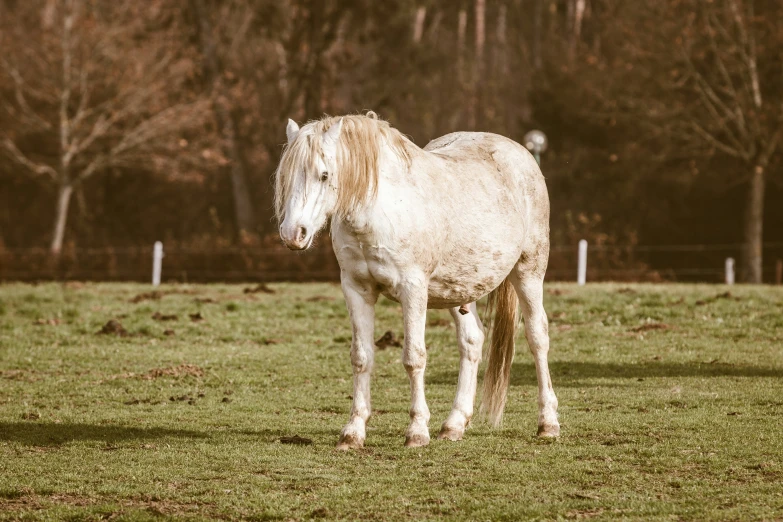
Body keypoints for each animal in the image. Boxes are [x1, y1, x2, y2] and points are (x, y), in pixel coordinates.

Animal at [276, 110, 556, 446]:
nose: (293, 234)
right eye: (285, 176)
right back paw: (454, 425)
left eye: (324, 175)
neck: (381, 211)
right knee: (472, 341)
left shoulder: (413, 290)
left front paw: (417, 431)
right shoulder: (356, 289)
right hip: (457, 291)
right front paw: (353, 432)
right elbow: (361, 357)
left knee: (538, 337)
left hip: (529, 272)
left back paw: (548, 423)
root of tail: (520, 154)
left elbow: (414, 357)